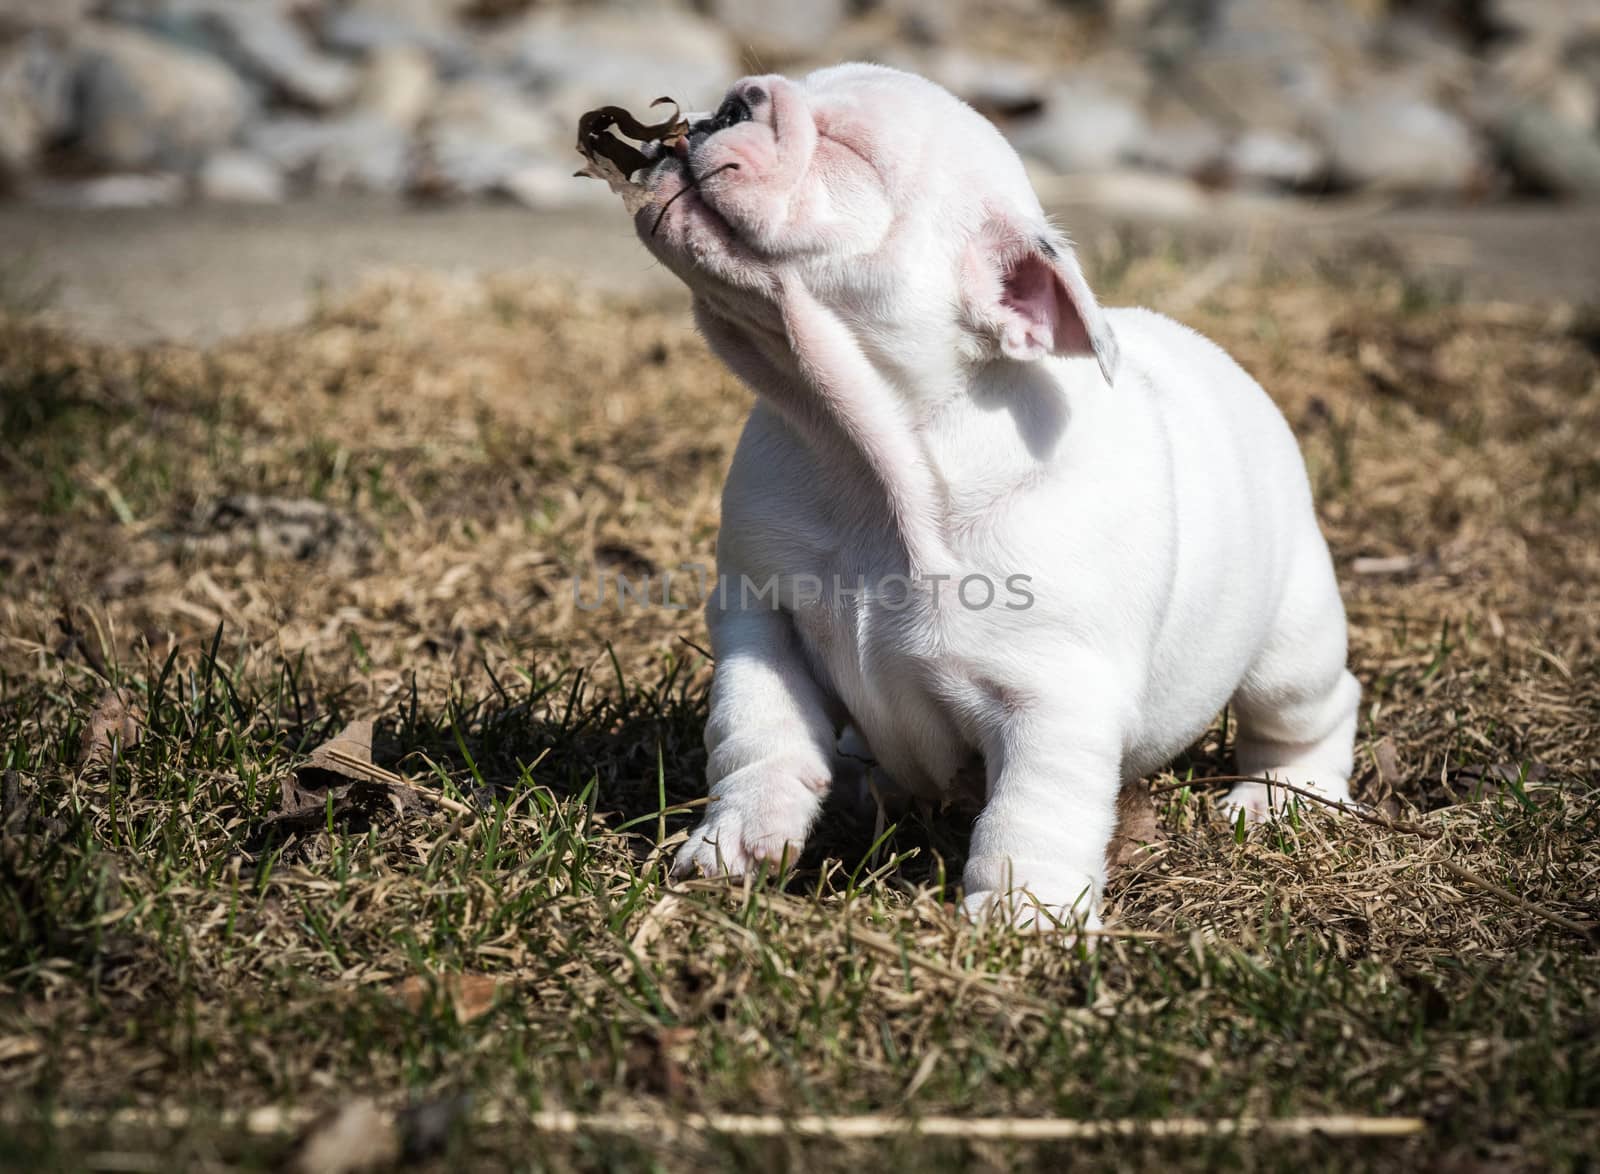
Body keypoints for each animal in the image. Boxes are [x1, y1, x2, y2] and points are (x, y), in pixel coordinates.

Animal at [617, 64, 1356, 934]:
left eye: (845, 148)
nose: (725, 108)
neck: (867, 454)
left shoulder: (1053, 696)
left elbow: (1034, 810)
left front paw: (1022, 916)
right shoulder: (762, 624)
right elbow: (757, 734)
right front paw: (735, 844)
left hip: (1291, 637)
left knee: (1308, 709)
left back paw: (1284, 801)